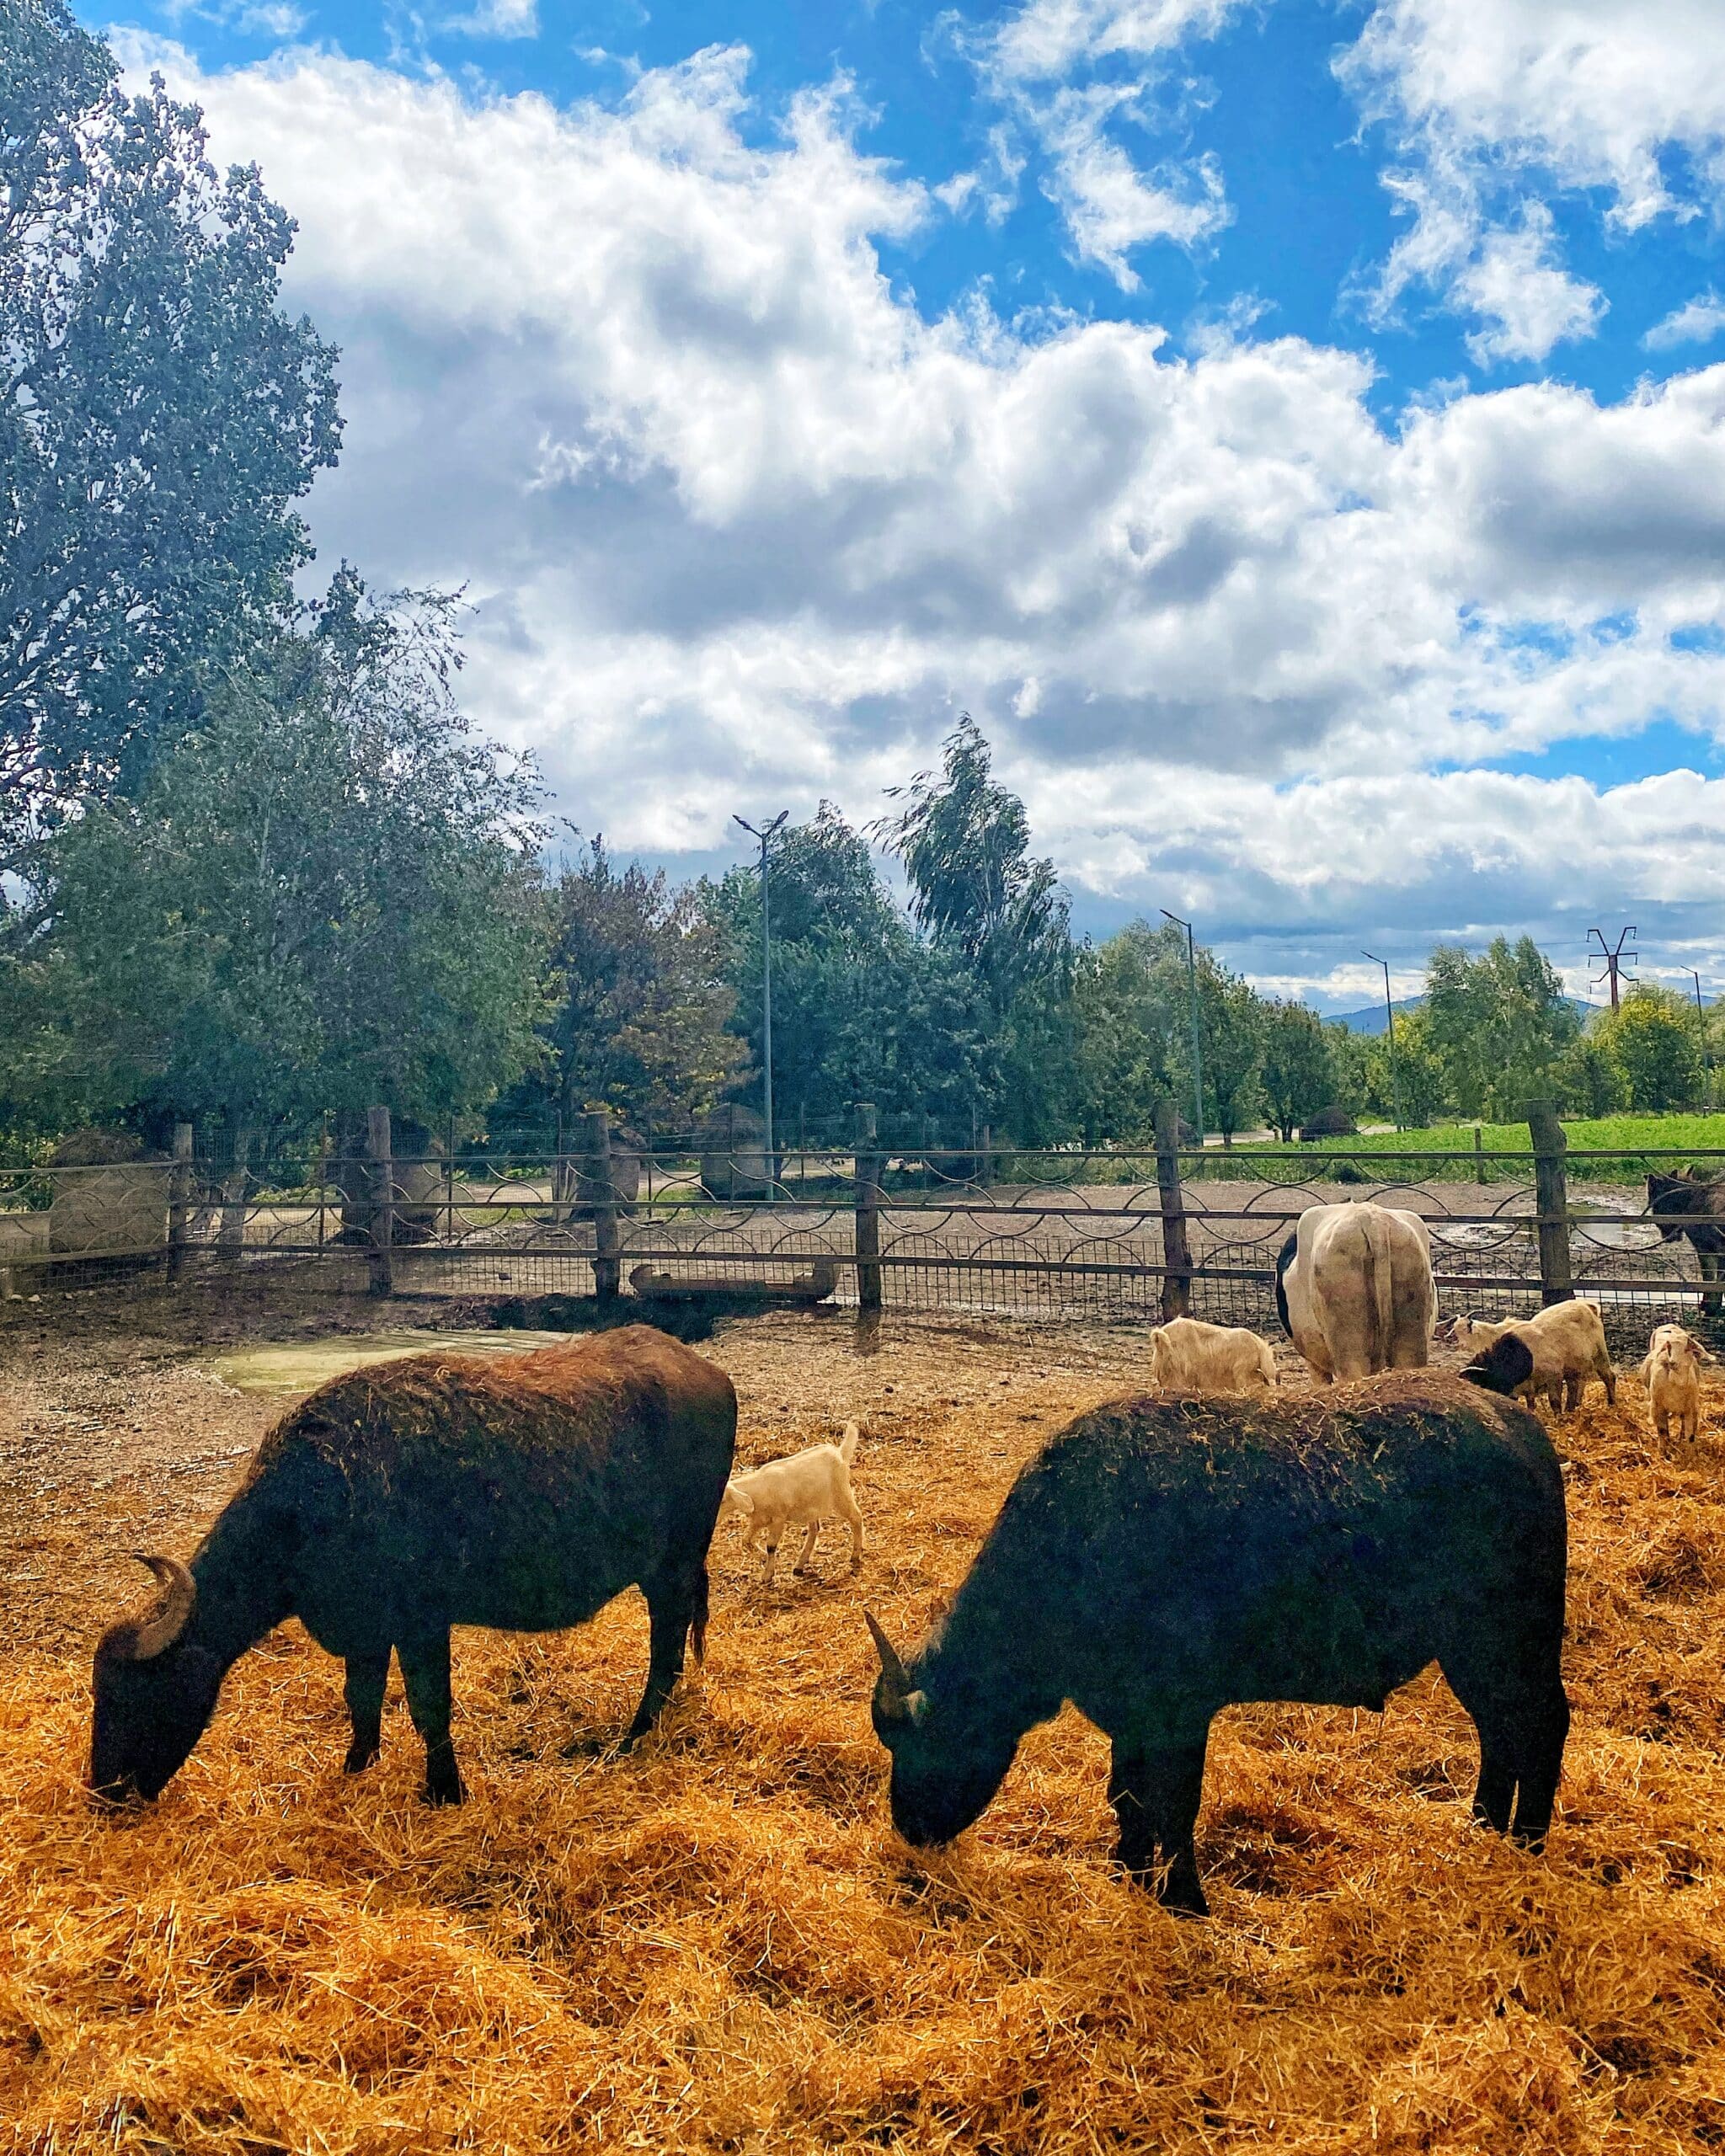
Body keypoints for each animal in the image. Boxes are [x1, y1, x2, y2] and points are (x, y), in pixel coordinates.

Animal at [90, 1326, 736, 1808]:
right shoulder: (366, 1629)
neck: (311, 1504)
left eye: (131, 1694)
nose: (103, 1792)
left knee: (666, 1646)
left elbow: (429, 1708)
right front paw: (357, 1767)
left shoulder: (422, 1625)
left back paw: (633, 1736)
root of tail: (711, 1375)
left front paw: (445, 1791)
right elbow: (362, 1699)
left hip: (671, 1568)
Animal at [718, 1422, 864, 1584]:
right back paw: (800, 1564)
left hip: (841, 1493)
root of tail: (840, 1453)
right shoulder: (758, 1519)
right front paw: (761, 1557)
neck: (759, 1490)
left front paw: (767, 1575)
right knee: (814, 1529)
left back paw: (855, 1555)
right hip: (811, 1504)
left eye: (723, 1500)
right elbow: (746, 1540)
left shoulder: (778, 1519)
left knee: (856, 1517)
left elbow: (770, 1546)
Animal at [866, 1374, 1568, 1917]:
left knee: (1542, 1725)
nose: (908, 1826)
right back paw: (1483, 1828)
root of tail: (1522, 1432)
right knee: (1500, 1732)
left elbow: (1174, 1806)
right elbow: (1128, 1798)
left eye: (927, 1741)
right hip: (1474, 1651)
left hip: (1509, 1640)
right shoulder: (1133, 1718)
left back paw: (1528, 1843)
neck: (1075, 1545)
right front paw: (1132, 1876)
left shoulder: (1182, 1714)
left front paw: (1185, 1900)